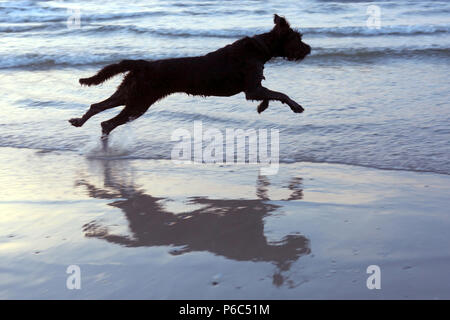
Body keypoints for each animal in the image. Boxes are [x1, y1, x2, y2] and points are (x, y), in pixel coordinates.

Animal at [69, 14, 310, 138]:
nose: (309, 49)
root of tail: (143, 64)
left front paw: (263, 107)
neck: (260, 49)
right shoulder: (252, 88)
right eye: (297, 38)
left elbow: (270, 95)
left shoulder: (254, 88)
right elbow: (280, 94)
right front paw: (296, 106)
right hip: (139, 102)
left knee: (97, 106)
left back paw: (79, 121)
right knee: (107, 123)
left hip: (129, 92)